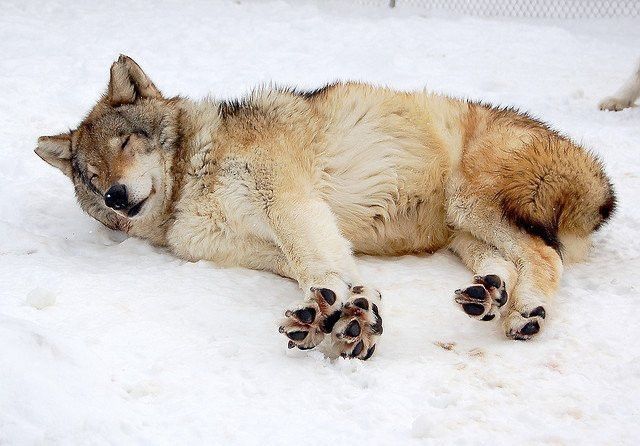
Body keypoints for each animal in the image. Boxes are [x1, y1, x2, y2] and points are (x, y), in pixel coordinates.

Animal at [36, 55, 615, 359]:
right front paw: (350, 311)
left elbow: (314, 259)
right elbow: (323, 268)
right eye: (91, 178)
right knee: (510, 262)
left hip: (470, 203)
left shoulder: (287, 199)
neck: (188, 183)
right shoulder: (257, 244)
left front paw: (332, 310)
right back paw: (489, 295)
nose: (115, 196)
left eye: (125, 144)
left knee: (546, 256)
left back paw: (526, 312)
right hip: (463, 234)